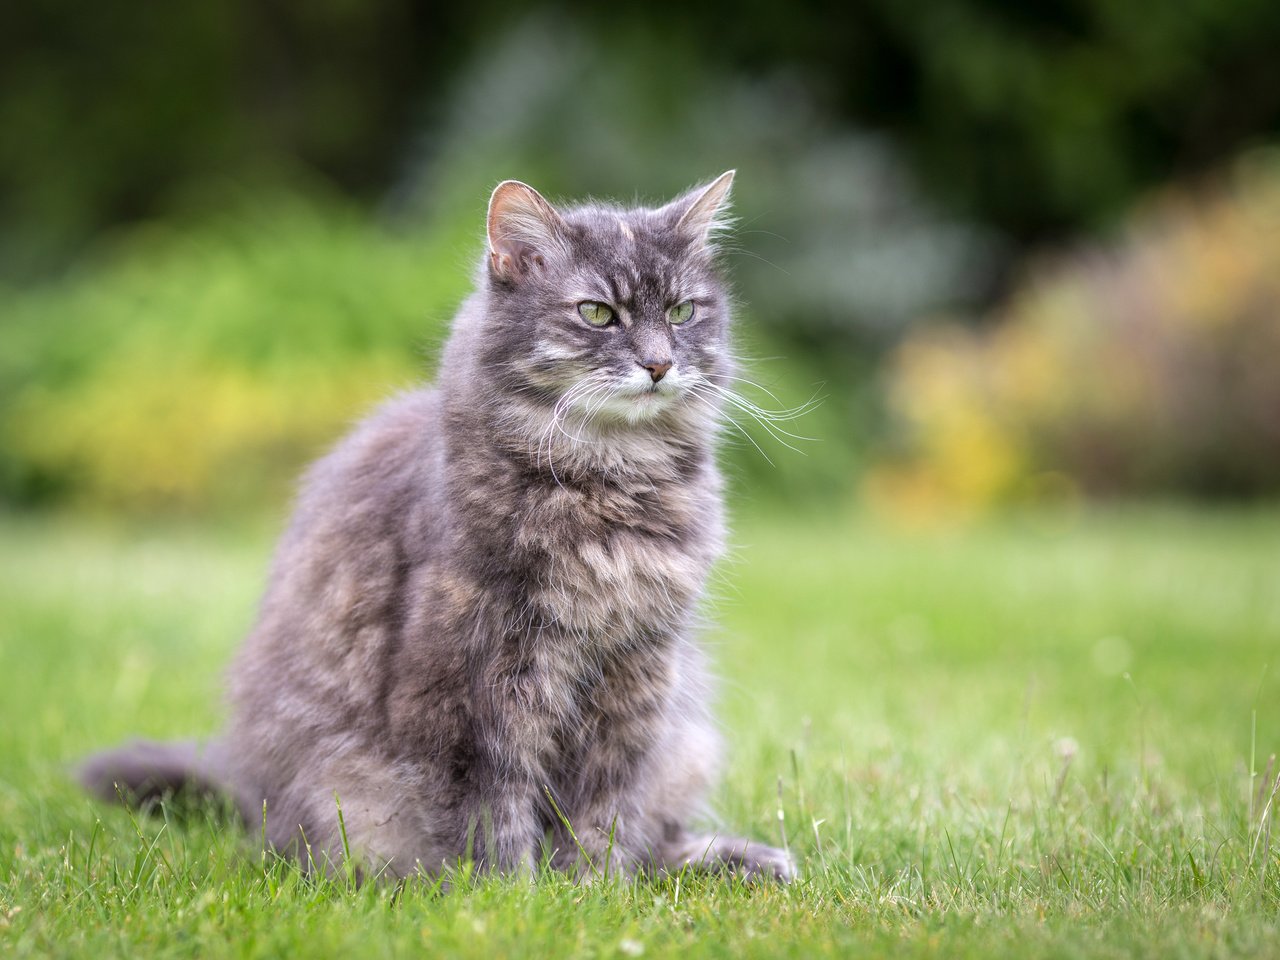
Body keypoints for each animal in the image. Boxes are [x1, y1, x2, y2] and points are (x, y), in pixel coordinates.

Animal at [80, 175, 793, 885]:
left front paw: (590, 888)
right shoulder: (475, 686)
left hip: (687, 742)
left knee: (659, 842)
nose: (658, 364)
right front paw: (518, 894)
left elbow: (604, 810)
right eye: (597, 314)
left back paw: (743, 859)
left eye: (681, 312)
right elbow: (495, 807)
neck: (610, 483)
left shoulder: (637, 674)